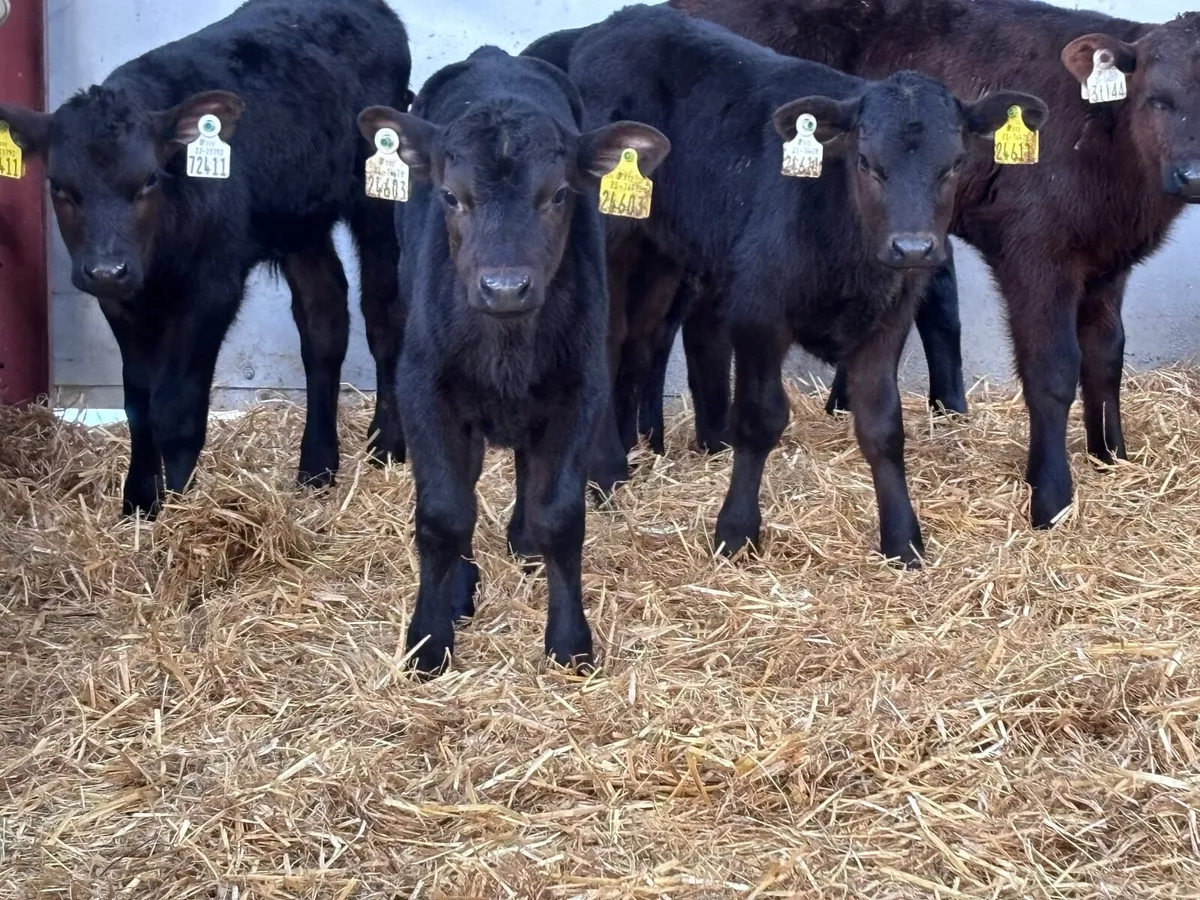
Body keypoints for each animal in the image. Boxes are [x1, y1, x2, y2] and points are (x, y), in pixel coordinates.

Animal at [0, 0, 411, 517]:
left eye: (149, 179)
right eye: (59, 186)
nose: (107, 269)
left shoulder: (212, 289)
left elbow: (176, 407)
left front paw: (181, 509)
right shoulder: (118, 301)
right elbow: (139, 401)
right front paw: (139, 502)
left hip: (379, 198)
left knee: (383, 314)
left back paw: (387, 444)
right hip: (299, 221)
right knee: (324, 320)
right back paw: (317, 468)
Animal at [358, 47, 669, 675]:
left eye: (559, 195)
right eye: (451, 196)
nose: (504, 287)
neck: (507, 346)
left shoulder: (580, 391)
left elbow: (561, 516)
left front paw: (570, 640)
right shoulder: (424, 390)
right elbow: (444, 514)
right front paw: (429, 638)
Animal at [549, 4, 1046, 566]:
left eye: (955, 164)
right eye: (866, 162)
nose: (913, 249)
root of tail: (619, 21)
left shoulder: (888, 321)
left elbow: (883, 427)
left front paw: (903, 539)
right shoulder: (759, 314)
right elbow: (760, 418)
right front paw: (736, 531)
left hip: (662, 251)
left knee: (641, 337)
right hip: (613, 239)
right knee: (608, 341)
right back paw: (607, 471)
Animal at [672, 0, 1200, 529]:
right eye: (1156, 99)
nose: (1192, 175)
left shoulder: (1108, 264)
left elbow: (1106, 356)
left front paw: (1111, 457)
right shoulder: (1036, 255)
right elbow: (1051, 370)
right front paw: (1050, 495)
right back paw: (713, 438)